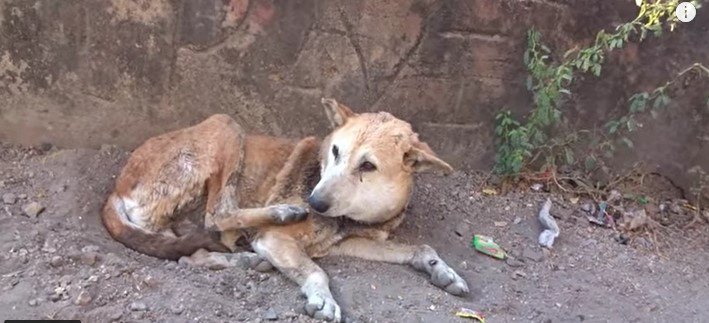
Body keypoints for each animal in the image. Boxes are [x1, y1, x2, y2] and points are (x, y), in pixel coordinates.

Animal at [99, 98, 464, 322]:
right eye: (335, 151)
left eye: (368, 166)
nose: (313, 203)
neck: (353, 219)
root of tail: (117, 186)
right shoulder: (275, 240)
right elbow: (316, 271)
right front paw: (323, 298)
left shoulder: (349, 241)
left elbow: (419, 247)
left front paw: (442, 271)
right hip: (226, 125)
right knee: (216, 215)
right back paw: (281, 213)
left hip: (172, 224)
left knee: (190, 254)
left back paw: (244, 260)